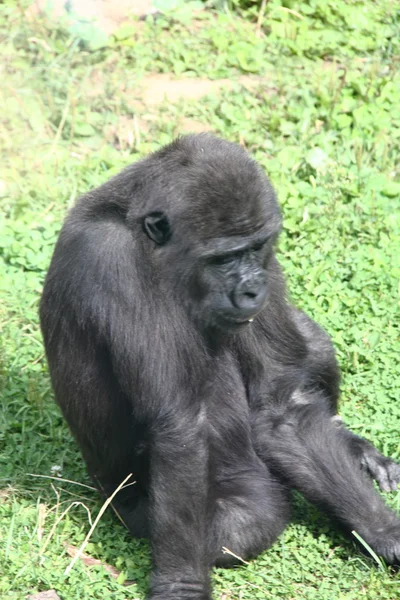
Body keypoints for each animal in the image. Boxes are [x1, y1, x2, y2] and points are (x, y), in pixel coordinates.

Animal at [39, 134, 400, 596]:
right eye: (224, 258)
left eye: (255, 248)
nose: (251, 291)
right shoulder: (112, 260)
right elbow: (179, 428)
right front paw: (182, 584)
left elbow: (281, 407)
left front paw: (383, 533)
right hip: (127, 507)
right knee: (242, 520)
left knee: (311, 345)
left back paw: (355, 449)